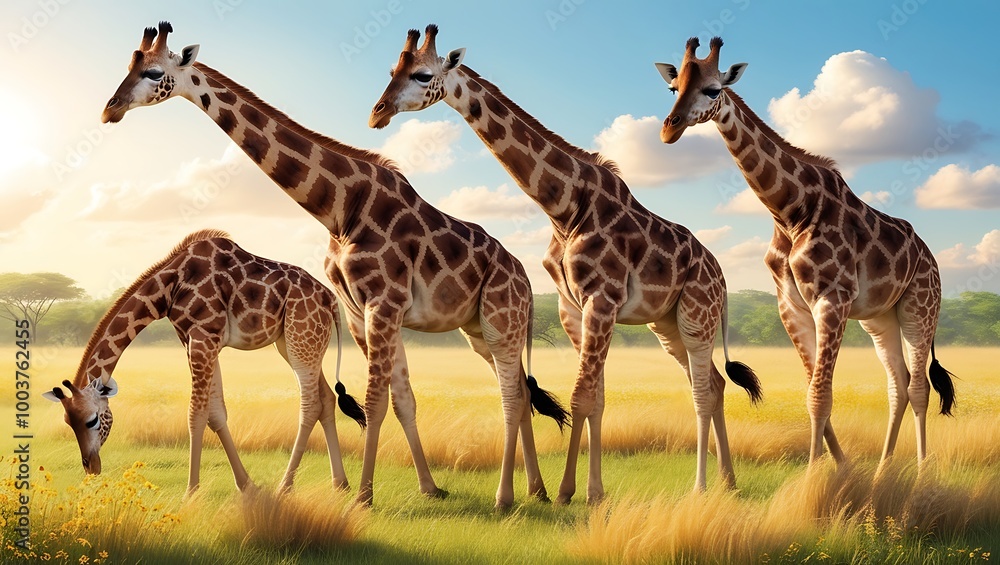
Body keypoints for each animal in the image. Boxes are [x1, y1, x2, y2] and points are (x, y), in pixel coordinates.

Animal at [42, 229, 366, 494]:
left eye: (92, 419)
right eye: (67, 422)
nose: (91, 467)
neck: (168, 289)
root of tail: (330, 300)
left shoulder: (203, 338)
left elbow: (196, 415)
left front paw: (191, 493)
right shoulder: (197, 342)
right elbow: (216, 413)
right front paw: (247, 487)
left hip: (301, 336)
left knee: (310, 403)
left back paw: (286, 486)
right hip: (293, 342)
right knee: (326, 397)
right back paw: (340, 485)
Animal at [100, 22, 568, 509]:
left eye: (154, 72)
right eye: (129, 64)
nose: (110, 109)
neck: (341, 210)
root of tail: (527, 282)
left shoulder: (384, 303)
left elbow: (376, 401)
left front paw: (363, 495)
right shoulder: (360, 311)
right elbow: (402, 399)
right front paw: (428, 487)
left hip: (501, 320)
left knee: (512, 395)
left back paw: (506, 496)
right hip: (479, 331)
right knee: (518, 390)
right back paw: (537, 489)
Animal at [370, 25, 763, 502]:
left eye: (423, 74)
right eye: (392, 70)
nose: (377, 113)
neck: (564, 207)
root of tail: (722, 280)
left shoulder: (602, 300)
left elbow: (582, 396)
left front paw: (568, 492)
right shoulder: (572, 306)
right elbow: (595, 396)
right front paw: (590, 488)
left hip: (696, 315)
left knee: (705, 390)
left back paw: (703, 487)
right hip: (668, 324)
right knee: (716, 384)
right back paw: (728, 480)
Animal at [654, 37, 956, 467]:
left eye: (713, 90)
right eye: (672, 88)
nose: (669, 129)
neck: (789, 212)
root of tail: (930, 256)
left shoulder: (832, 299)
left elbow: (820, 396)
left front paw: (817, 477)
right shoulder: (791, 305)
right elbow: (812, 389)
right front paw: (840, 468)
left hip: (921, 306)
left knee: (919, 387)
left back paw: (919, 470)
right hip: (880, 317)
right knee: (897, 383)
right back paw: (882, 470)